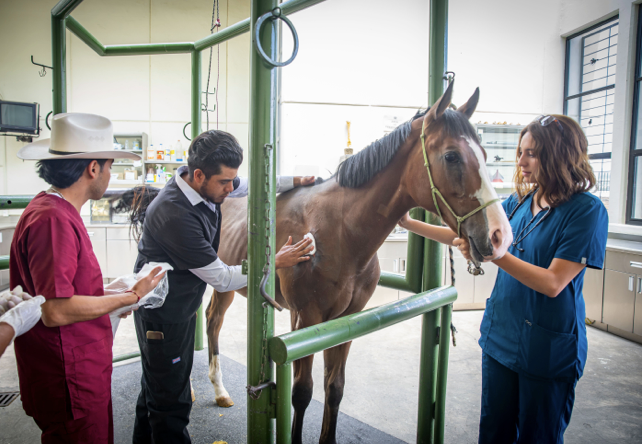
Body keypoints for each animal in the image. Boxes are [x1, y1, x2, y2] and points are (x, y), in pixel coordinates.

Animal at [205, 80, 510, 444]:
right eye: (451, 156)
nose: (499, 235)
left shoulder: (346, 319)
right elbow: (302, 392)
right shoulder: (305, 318)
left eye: (485, 155)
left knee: (212, 319)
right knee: (211, 322)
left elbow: (334, 387)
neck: (339, 231)